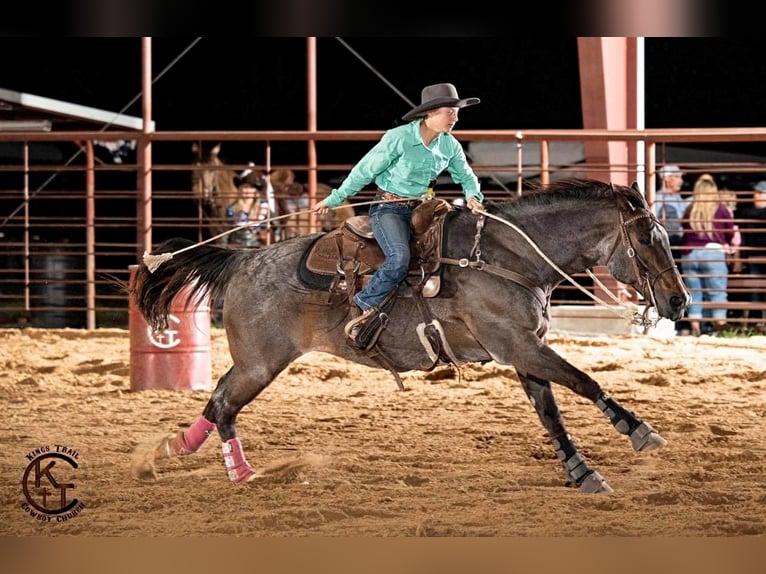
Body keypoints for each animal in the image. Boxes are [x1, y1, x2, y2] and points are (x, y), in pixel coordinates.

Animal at [130, 179, 688, 496]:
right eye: (646, 237)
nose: (679, 302)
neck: (506, 258)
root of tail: (243, 259)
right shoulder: (521, 347)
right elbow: (584, 382)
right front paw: (639, 431)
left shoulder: (523, 352)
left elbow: (550, 413)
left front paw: (581, 472)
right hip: (260, 364)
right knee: (224, 406)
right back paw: (241, 473)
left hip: (252, 363)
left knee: (214, 402)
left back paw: (173, 451)